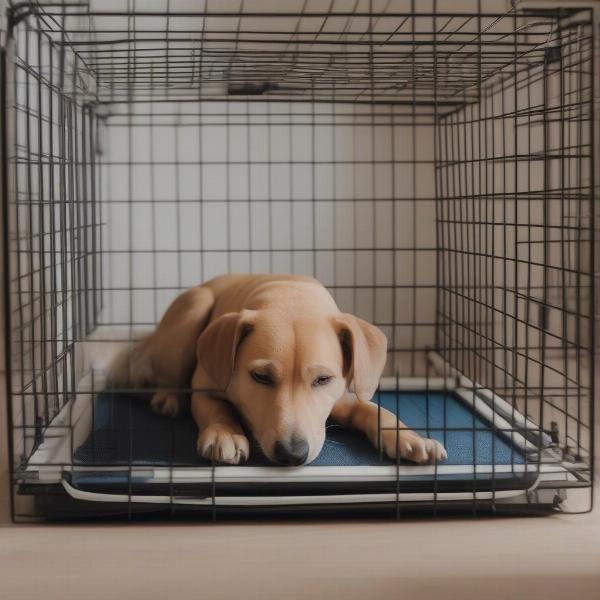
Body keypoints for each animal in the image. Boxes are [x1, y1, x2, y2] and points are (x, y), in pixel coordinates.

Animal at [108, 274, 448, 466]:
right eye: (260, 377)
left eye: (323, 379)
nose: (292, 454)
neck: (290, 298)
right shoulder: (205, 389)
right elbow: (217, 409)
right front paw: (224, 433)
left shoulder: (343, 397)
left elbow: (373, 410)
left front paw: (408, 436)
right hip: (194, 308)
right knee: (167, 377)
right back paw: (168, 398)